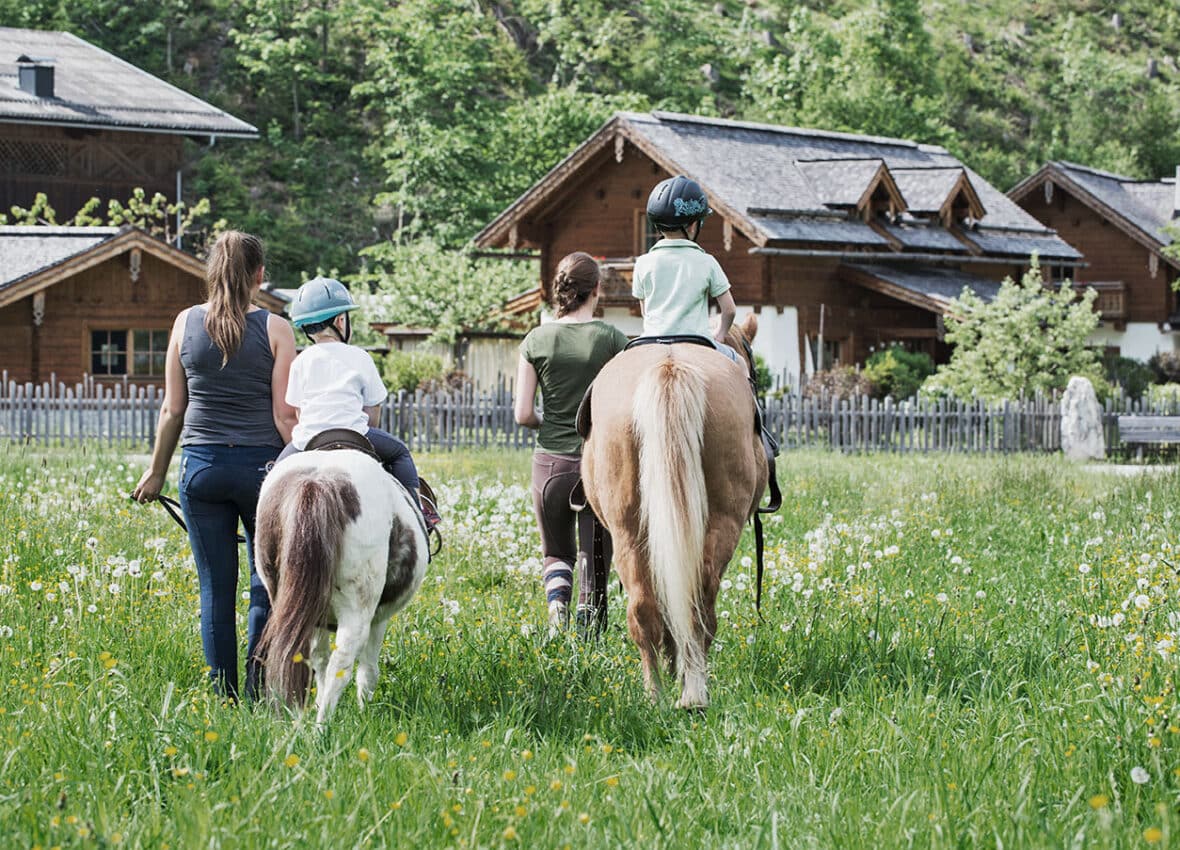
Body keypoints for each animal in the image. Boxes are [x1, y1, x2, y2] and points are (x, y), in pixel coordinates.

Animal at [253, 448, 429, 722]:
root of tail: (319, 481)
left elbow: (319, 660)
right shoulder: (378, 619)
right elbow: (368, 669)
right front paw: (364, 711)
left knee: (298, 655)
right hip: (357, 611)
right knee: (342, 664)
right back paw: (322, 725)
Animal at [582, 316, 769, 708]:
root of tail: (669, 366)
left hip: (629, 532)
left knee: (651, 608)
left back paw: (660, 694)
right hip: (716, 524)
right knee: (696, 604)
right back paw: (688, 690)